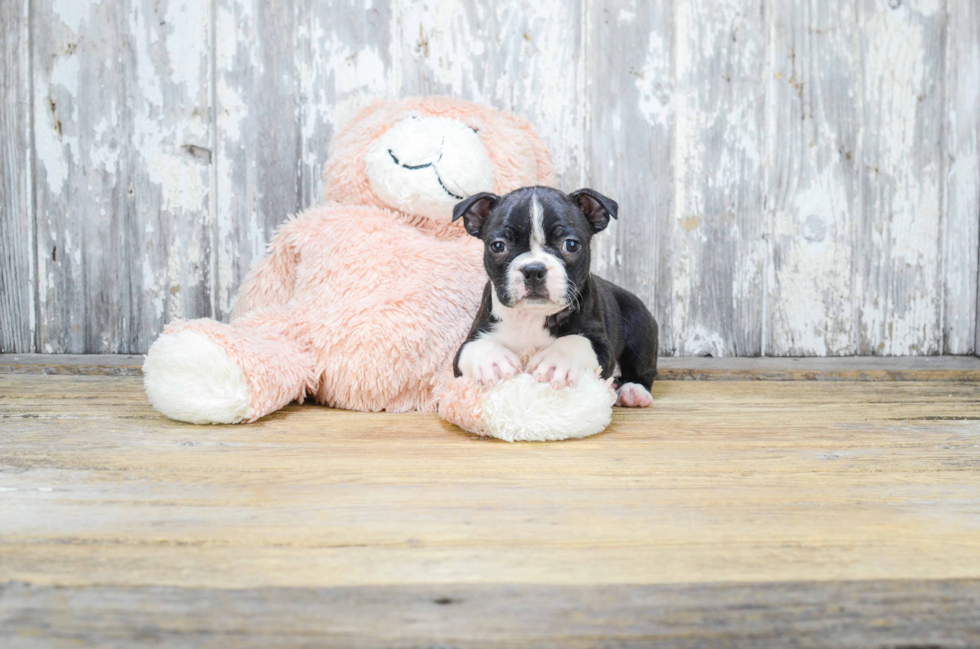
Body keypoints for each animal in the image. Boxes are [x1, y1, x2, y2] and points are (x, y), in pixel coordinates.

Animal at [452, 185, 660, 404]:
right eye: (498, 246)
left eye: (571, 245)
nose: (534, 270)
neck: (532, 316)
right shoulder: (469, 341)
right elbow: (475, 346)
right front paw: (493, 361)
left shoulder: (602, 347)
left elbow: (576, 341)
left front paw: (556, 360)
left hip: (638, 322)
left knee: (642, 368)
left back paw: (633, 391)